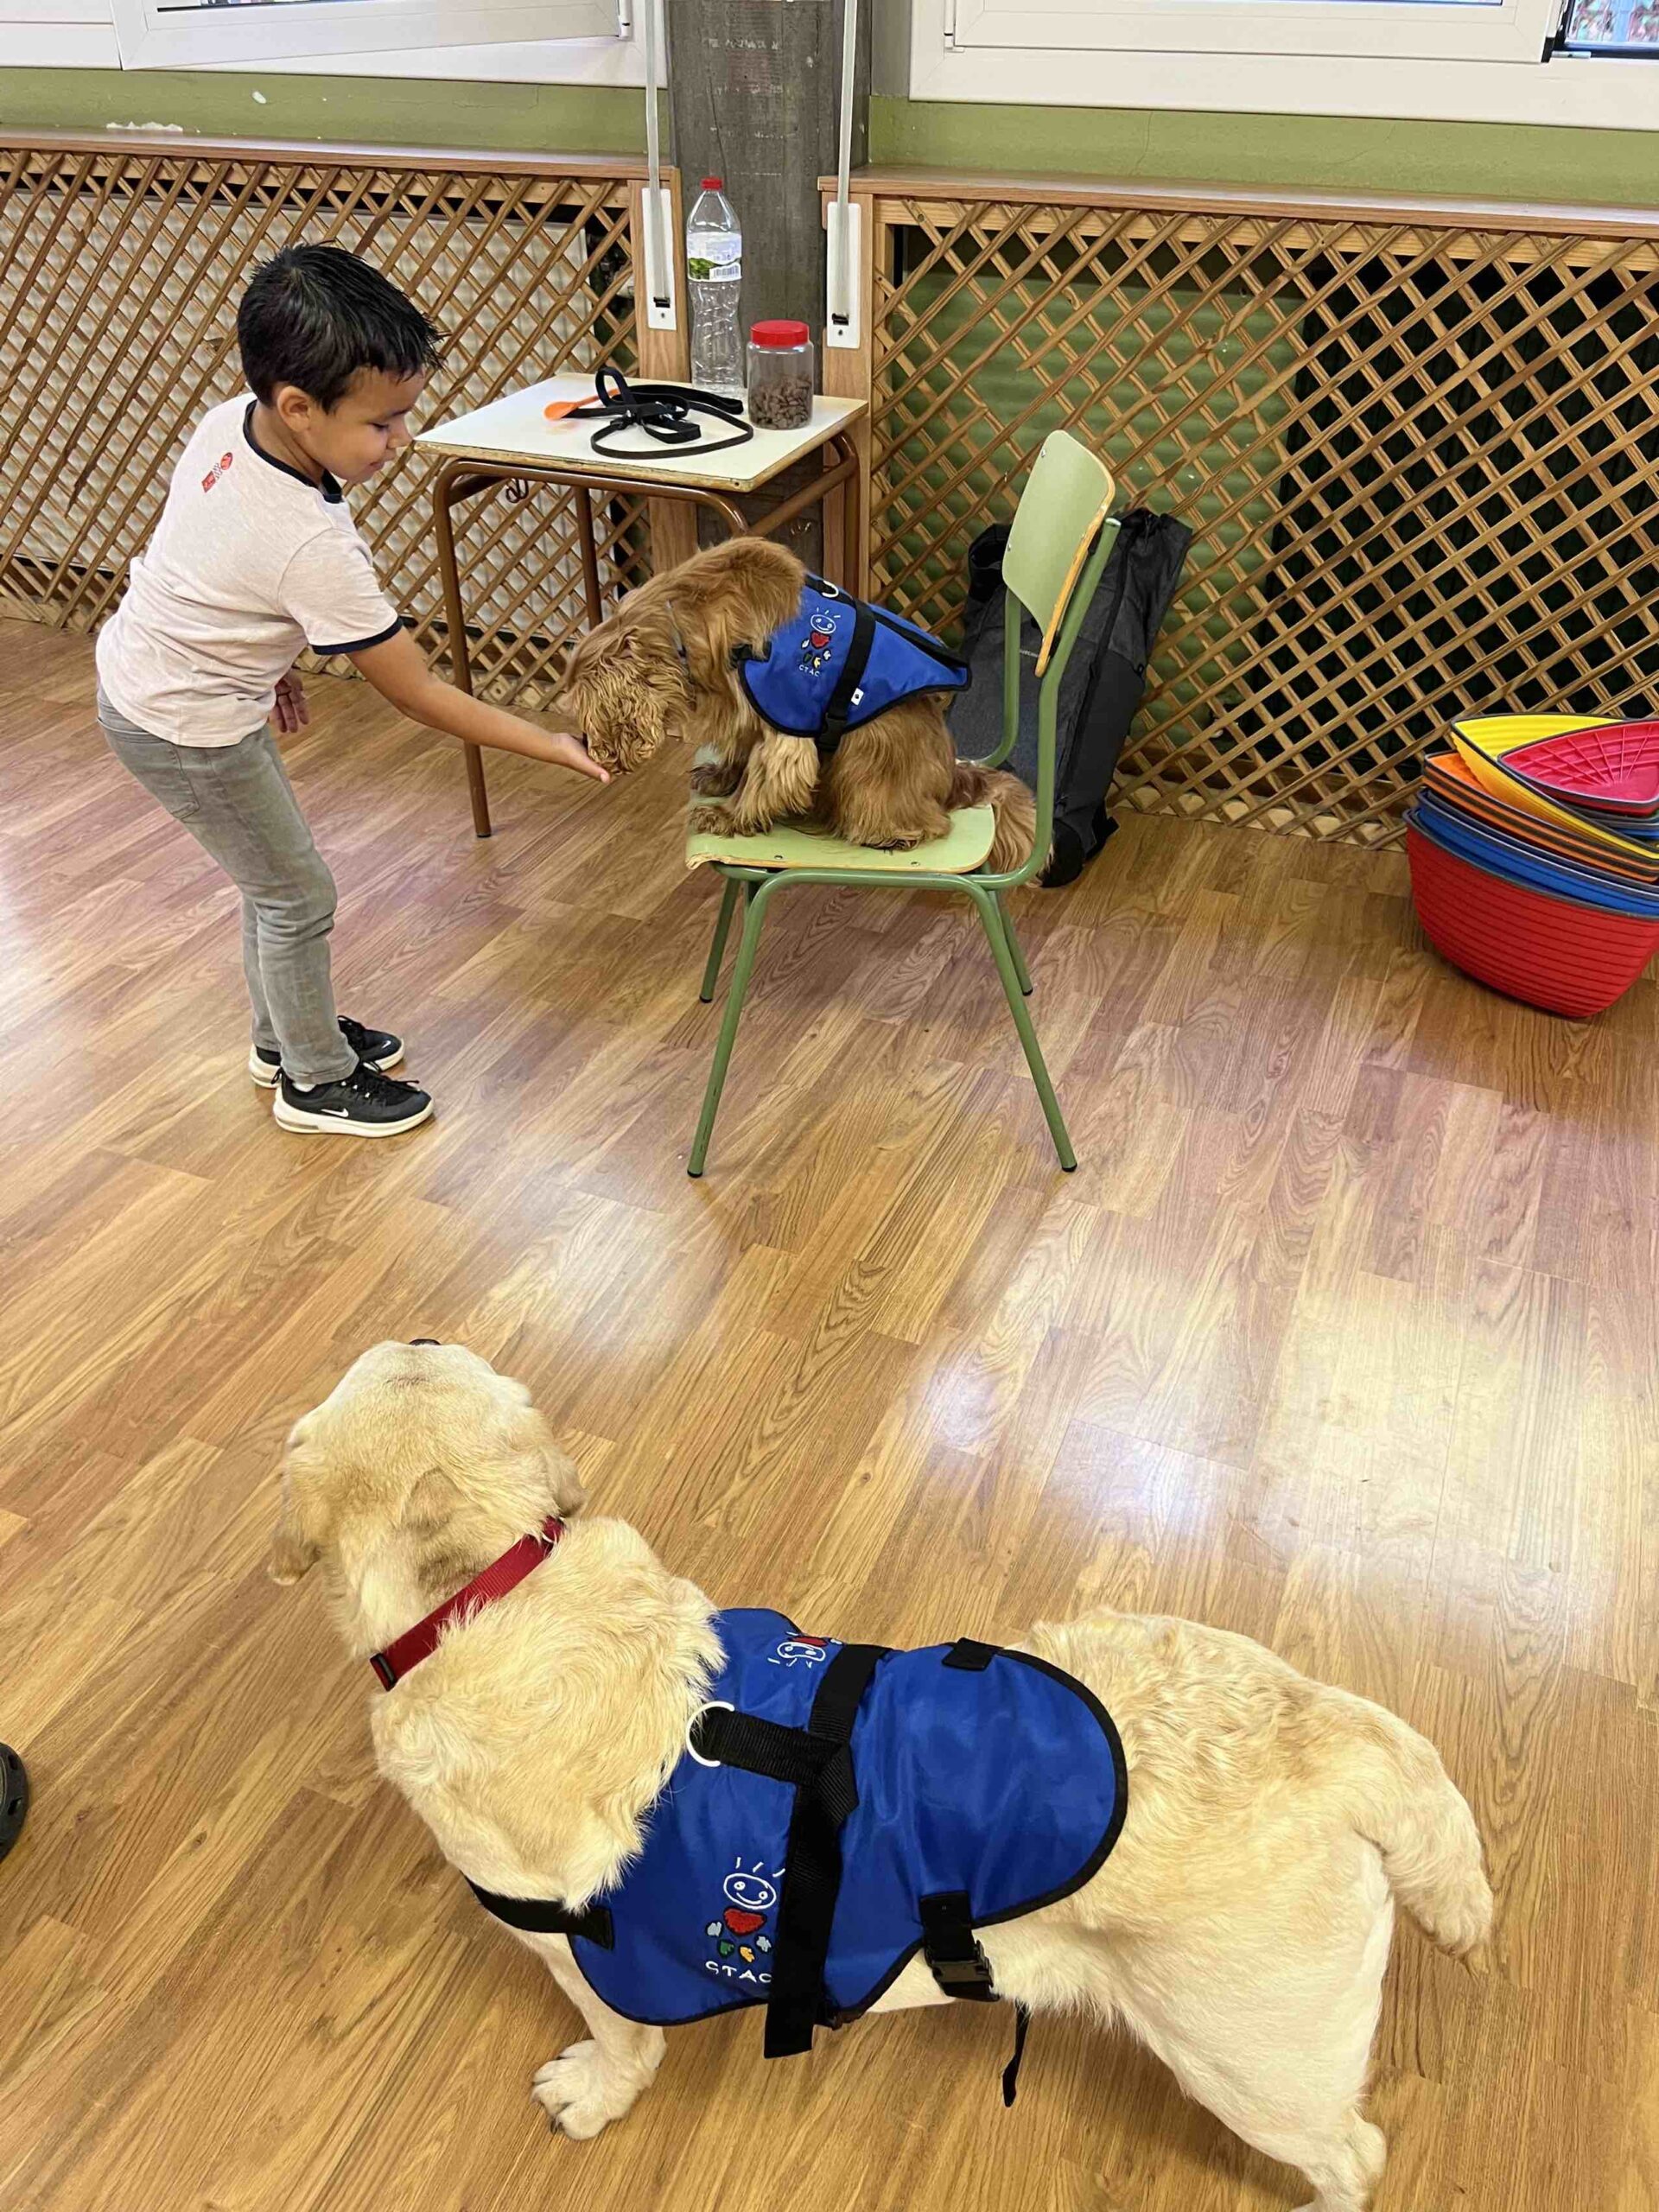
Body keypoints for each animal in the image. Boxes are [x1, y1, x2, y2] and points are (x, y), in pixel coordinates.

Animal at [271, 1340, 1491, 2212]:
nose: (420, 1324)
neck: (493, 1586)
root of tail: (1337, 1732)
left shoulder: (588, 1957)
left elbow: (620, 2042)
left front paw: (593, 2095)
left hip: (1250, 2061)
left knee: (1356, 2154)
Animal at [555, 537, 1038, 869]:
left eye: (585, 714)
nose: (587, 746)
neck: (682, 623)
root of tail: (956, 778)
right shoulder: (749, 713)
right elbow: (742, 755)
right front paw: (720, 778)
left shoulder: (784, 725)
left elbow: (764, 774)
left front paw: (729, 816)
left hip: (868, 763)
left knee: (927, 820)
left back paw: (894, 834)